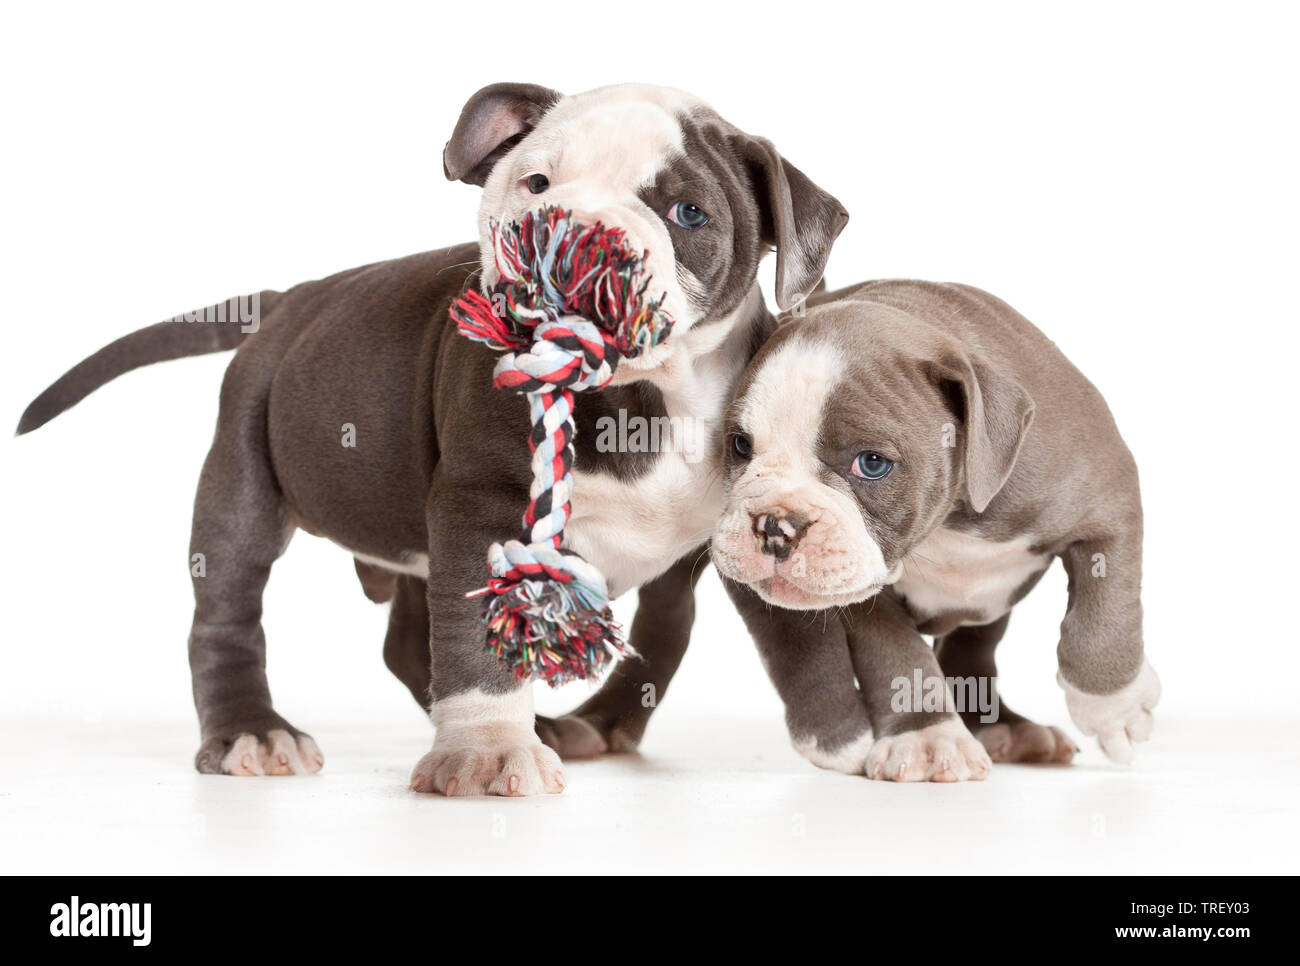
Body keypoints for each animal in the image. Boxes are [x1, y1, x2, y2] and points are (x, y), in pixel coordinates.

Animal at [20, 81, 852, 795]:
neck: (648, 392)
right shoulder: (483, 506)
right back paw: (252, 731)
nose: (574, 228)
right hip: (240, 476)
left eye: (686, 212)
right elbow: (475, 648)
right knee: (226, 609)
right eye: (536, 184)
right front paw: (487, 752)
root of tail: (292, 300)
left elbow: (713, 627)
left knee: (426, 638)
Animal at [712, 283, 1159, 780]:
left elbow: (1101, 617)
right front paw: (927, 738)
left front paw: (1114, 709)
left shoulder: (1106, 505)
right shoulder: (866, 596)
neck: (948, 522)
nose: (775, 524)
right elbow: (897, 656)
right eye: (740, 445)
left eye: (872, 463)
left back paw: (1010, 728)